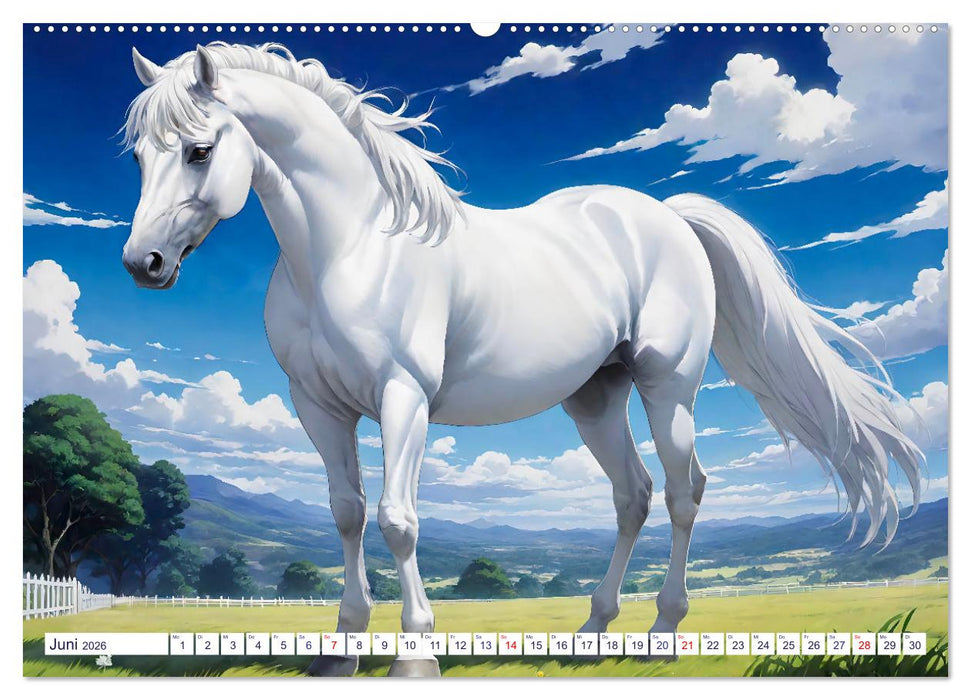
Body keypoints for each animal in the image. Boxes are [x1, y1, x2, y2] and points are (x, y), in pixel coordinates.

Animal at [120, 43, 922, 677]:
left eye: (198, 149)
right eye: (138, 156)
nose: (143, 263)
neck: (348, 250)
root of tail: (668, 216)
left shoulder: (403, 399)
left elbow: (398, 520)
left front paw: (415, 656)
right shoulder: (317, 408)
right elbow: (347, 516)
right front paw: (341, 650)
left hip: (667, 388)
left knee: (682, 491)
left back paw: (663, 632)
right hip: (594, 398)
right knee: (631, 495)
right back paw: (590, 633)